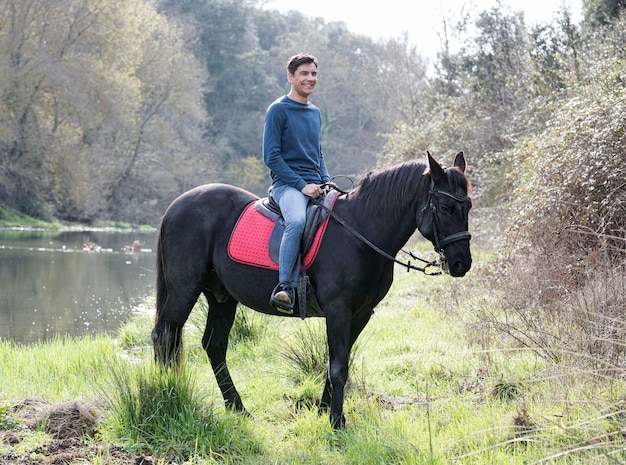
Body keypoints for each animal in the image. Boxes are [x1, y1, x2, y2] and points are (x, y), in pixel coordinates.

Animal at [151, 151, 470, 428]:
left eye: (467, 206)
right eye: (445, 208)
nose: (461, 264)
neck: (360, 231)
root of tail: (175, 207)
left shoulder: (361, 314)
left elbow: (334, 364)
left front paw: (323, 411)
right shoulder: (339, 311)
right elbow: (339, 367)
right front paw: (337, 422)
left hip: (222, 297)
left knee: (213, 345)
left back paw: (237, 408)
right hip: (183, 290)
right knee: (164, 336)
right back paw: (166, 394)